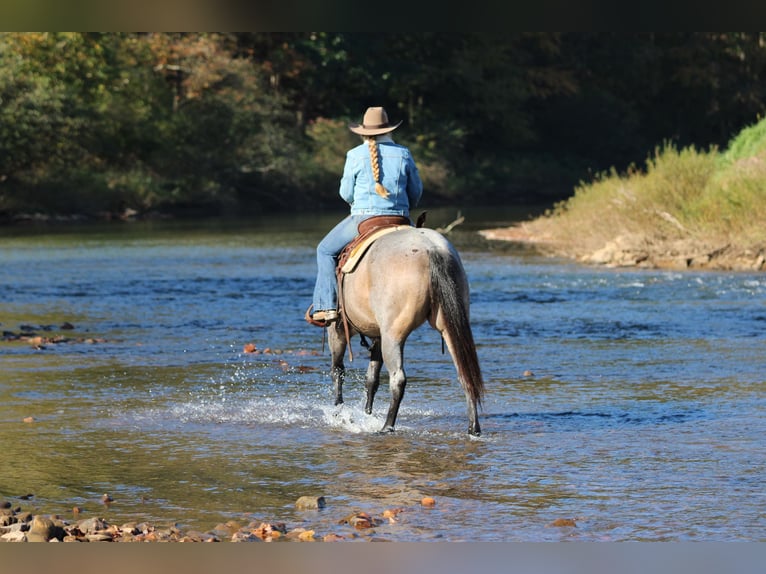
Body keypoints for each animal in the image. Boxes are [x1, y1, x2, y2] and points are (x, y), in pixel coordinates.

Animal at [326, 224, 485, 436]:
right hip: (449, 329)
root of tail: (431, 250)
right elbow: (371, 377)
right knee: (465, 374)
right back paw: (473, 428)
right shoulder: (378, 336)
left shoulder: (338, 331)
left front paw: (339, 411)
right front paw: (367, 412)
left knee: (397, 379)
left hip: (392, 336)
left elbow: (338, 371)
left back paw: (387, 426)